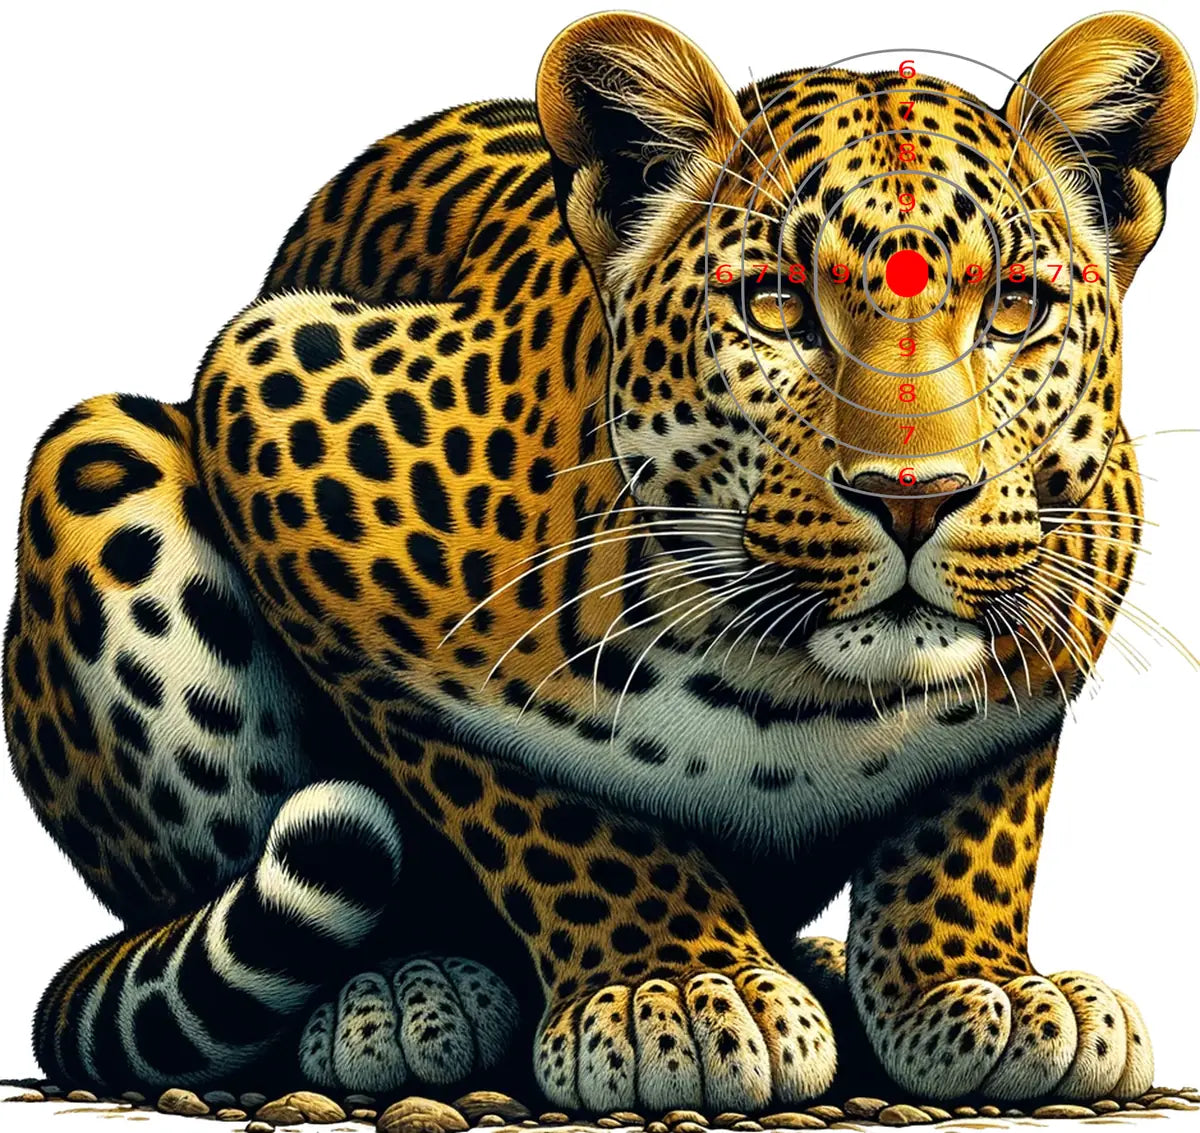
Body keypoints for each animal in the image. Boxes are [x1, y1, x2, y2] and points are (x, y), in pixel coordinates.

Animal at [3, 10, 1195, 1111]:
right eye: (775, 303)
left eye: (1016, 305)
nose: (915, 496)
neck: (794, 683)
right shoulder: (271, 393)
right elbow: (544, 800)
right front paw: (676, 987)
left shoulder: (1061, 609)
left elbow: (973, 812)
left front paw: (976, 985)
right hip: (95, 465)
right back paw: (398, 988)